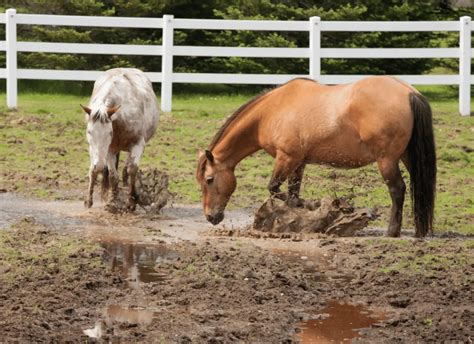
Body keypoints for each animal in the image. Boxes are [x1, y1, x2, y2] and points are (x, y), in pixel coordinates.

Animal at [196, 76, 436, 236]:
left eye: (209, 180)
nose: (210, 216)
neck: (272, 111)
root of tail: (409, 92)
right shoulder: (298, 162)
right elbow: (291, 193)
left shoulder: (286, 158)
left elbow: (274, 188)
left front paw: (310, 207)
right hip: (407, 157)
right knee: (418, 188)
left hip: (386, 160)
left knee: (397, 190)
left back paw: (392, 231)